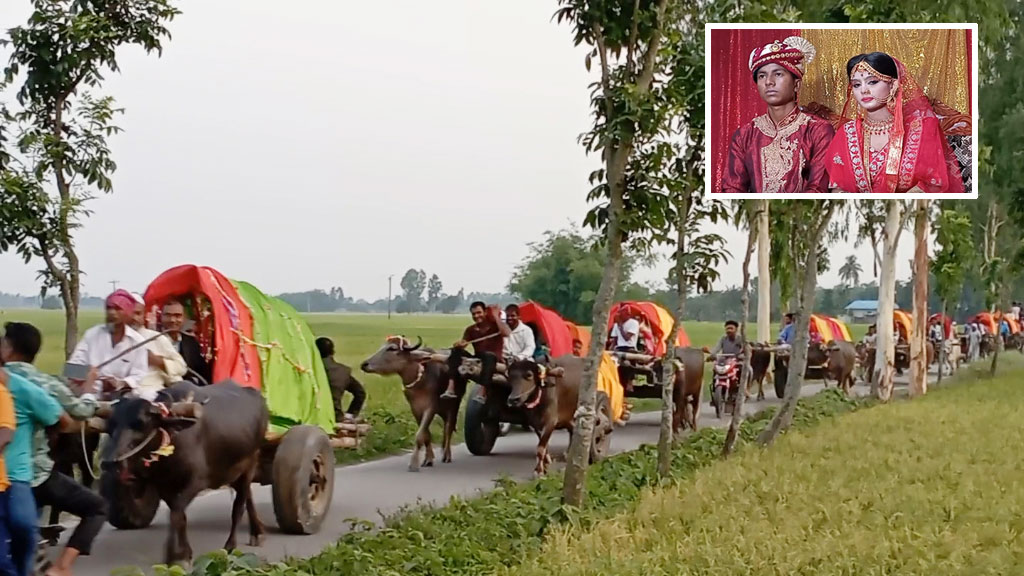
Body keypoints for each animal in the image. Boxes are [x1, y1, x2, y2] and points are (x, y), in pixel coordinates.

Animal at [95, 381, 268, 565]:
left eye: (142, 423)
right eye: (110, 425)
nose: (109, 463)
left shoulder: (195, 483)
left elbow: (176, 515)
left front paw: (175, 556)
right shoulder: (163, 486)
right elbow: (179, 517)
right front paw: (181, 553)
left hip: (250, 465)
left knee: (239, 506)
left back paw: (230, 546)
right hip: (233, 472)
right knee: (248, 496)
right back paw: (257, 532)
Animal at [360, 334, 456, 469]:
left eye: (392, 348)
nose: (364, 364)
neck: (420, 380)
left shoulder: (430, 408)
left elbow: (420, 435)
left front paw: (414, 462)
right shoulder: (415, 409)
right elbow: (426, 435)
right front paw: (428, 459)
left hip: (453, 406)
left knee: (448, 429)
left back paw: (447, 455)